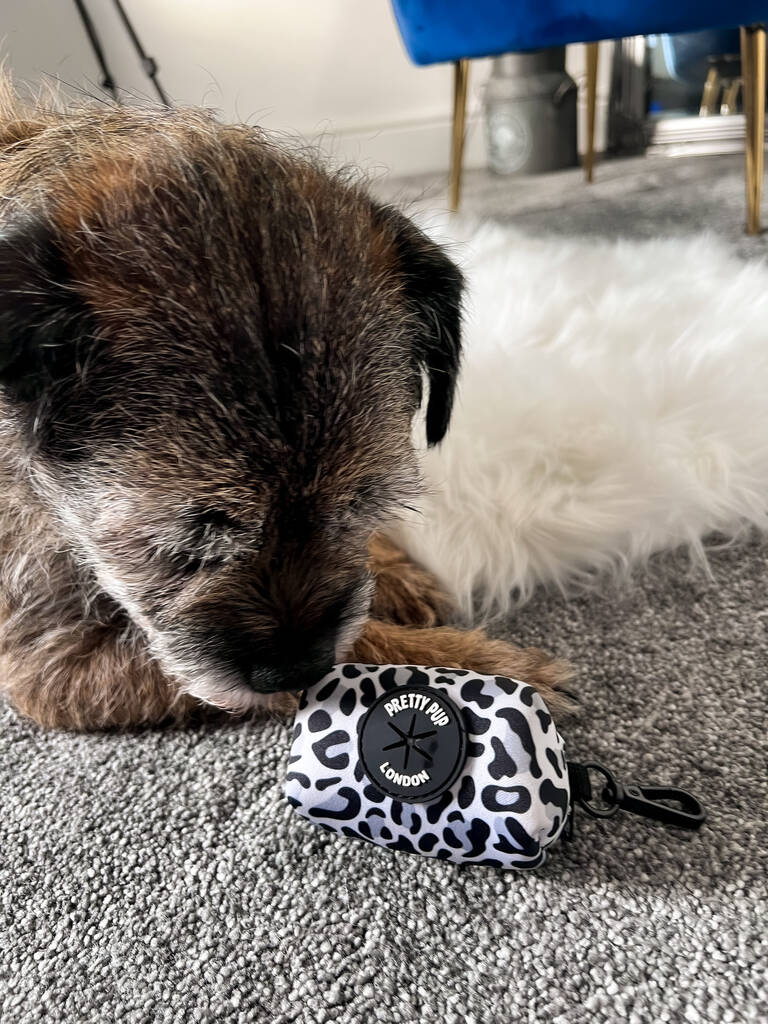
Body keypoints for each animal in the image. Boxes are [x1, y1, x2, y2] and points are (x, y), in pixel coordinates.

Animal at [0, 86, 573, 729]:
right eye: (184, 546)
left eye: (360, 505)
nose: (294, 668)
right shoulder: (52, 663)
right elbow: (358, 660)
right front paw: (476, 670)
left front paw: (394, 570)